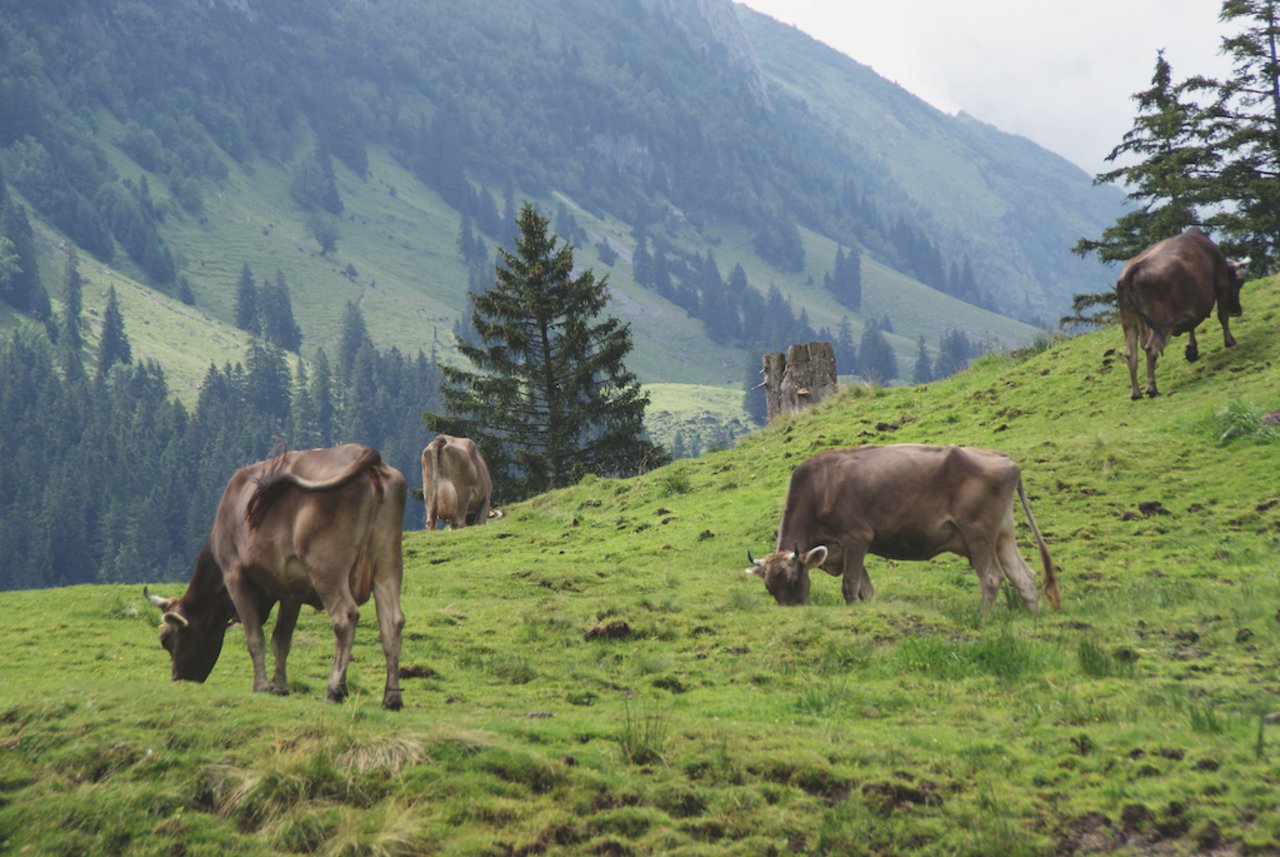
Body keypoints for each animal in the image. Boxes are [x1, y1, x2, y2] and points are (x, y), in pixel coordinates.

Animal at [144, 447, 407, 706]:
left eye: (166, 639)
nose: (178, 679)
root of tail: (369, 460)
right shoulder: (291, 590)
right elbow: (281, 639)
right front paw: (280, 686)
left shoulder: (234, 574)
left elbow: (255, 637)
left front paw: (261, 686)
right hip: (388, 563)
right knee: (392, 621)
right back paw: (392, 697)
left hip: (327, 569)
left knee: (345, 616)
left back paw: (335, 689)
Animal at [742, 447, 1059, 613]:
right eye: (769, 588)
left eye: (796, 581)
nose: (791, 613)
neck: (819, 488)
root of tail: (1006, 459)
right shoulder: (843, 549)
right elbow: (866, 590)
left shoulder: (857, 537)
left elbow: (850, 586)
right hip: (1002, 535)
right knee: (1024, 577)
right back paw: (1034, 619)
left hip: (977, 533)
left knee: (992, 577)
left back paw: (983, 618)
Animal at [1116, 227, 1244, 404]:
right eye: (1239, 283)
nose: (1238, 310)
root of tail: (1135, 268)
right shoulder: (1221, 284)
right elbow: (1222, 316)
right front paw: (1229, 341)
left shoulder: (1190, 306)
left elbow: (1191, 325)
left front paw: (1191, 349)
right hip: (1161, 324)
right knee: (1151, 349)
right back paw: (1152, 388)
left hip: (1129, 322)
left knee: (1130, 354)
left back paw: (1136, 393)